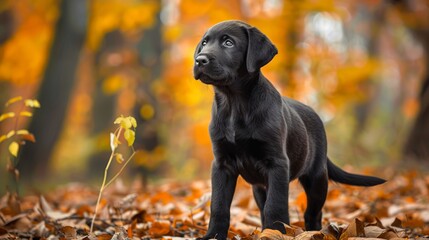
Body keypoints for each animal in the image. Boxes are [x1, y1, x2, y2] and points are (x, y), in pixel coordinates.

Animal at [192, 20, 382, 240]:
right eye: (204, 43)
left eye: (228, 43)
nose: (199, 60)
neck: (234, 103)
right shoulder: (222, 164)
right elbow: (219, 205)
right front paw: (213, 235)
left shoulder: (278, 163)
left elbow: (275, 206)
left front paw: (276, 233)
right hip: (259, 186)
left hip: (317, 178)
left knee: (313, 212)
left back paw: (313, 232)